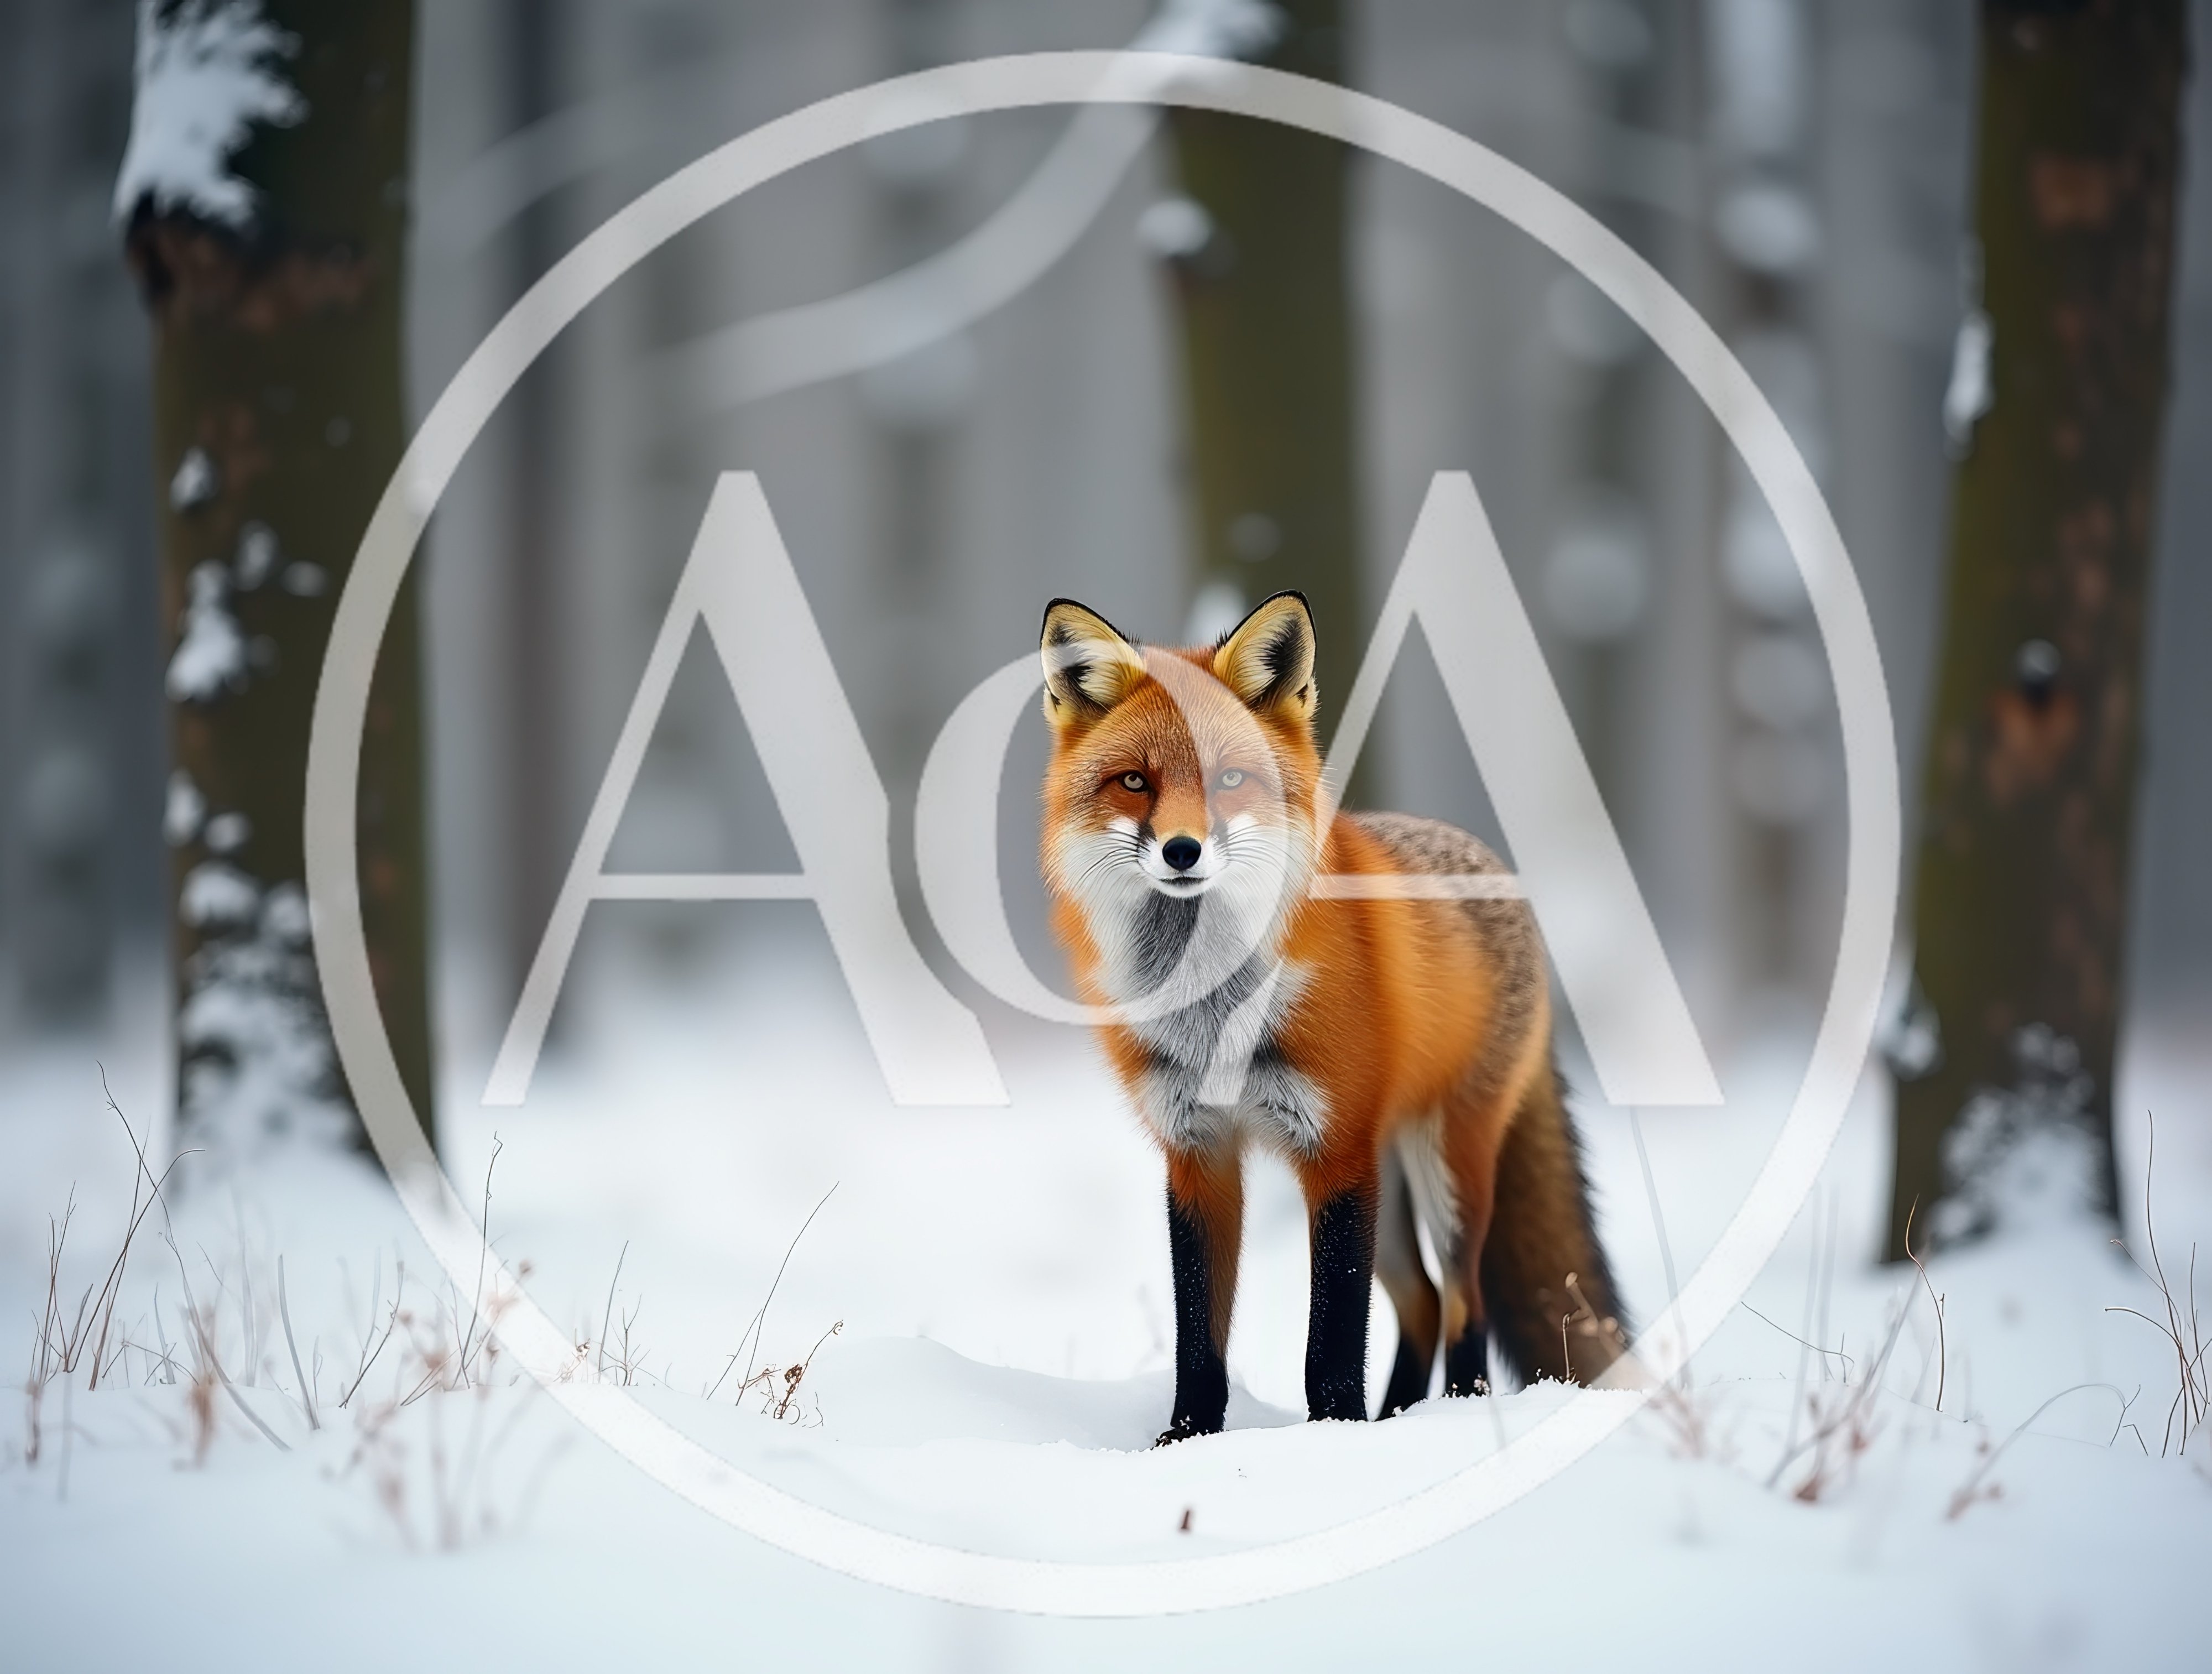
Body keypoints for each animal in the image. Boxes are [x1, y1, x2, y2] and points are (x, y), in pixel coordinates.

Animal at [1038, 589, 1624, 1439]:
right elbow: (1197, 1334)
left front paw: (1335, 1435)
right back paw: (1398, 1417)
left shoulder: (1336, 1152)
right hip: (1393, 1187)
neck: (1216, 1008)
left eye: (1231, 777)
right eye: (1135, 781)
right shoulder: (1198, 1154)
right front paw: (1187, 1439)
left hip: (1444, 1169)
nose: (1182, 850)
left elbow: (1333, 1338)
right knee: (1422, 1304)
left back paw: (1450, 1413)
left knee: (1464, 1304)